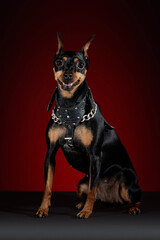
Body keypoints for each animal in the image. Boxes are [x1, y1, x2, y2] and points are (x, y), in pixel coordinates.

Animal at [36, 32, 141, 218]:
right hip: (81, 184)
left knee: (131, 197)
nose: (68, 75)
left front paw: (86, 211)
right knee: (93, 192)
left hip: (127, 184)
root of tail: (111, 199)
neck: (70, 108)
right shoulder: (50, 153)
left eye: (80, 64)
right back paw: (81, 203)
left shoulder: (94, 156)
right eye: (59, 62)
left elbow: (93, 189)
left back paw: (133, 207)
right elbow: (47, 187)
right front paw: (43, 208)